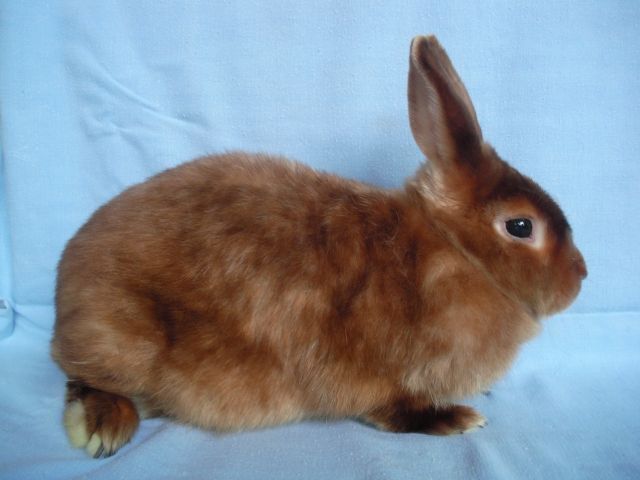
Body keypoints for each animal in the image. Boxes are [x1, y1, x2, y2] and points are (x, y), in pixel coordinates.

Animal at [51, 35, 587, 458]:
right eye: (521, 226)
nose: (580, 277)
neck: (454, 251)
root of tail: (65, 290)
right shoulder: (379, 377)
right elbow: (396, 410)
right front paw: (457, 418)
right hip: (121, 337)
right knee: (84, 378)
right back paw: (102, 427)